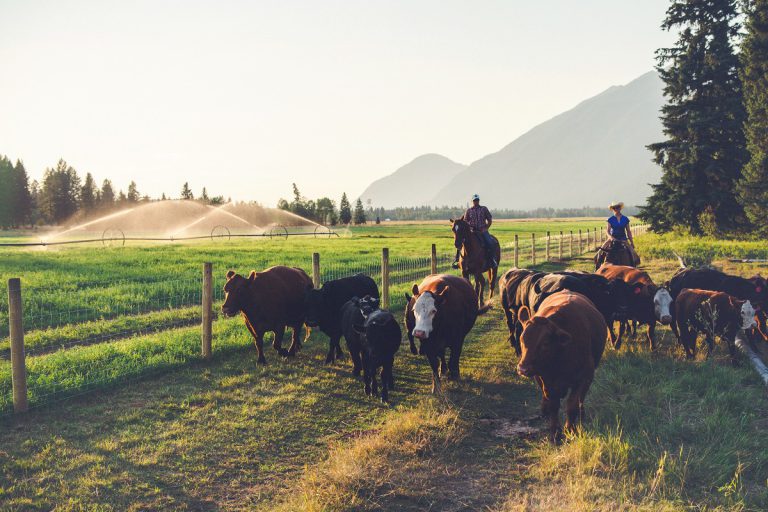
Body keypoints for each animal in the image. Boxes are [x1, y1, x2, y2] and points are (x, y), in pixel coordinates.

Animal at [516, 292, 608, 444]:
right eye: (522, 339)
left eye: (545, 343)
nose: (523, 369)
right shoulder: (545, 381)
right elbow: (553, 406)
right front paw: (554, 433)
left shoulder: (584, 377)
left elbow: (572, 405)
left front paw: (570, 429)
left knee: (581, 399)